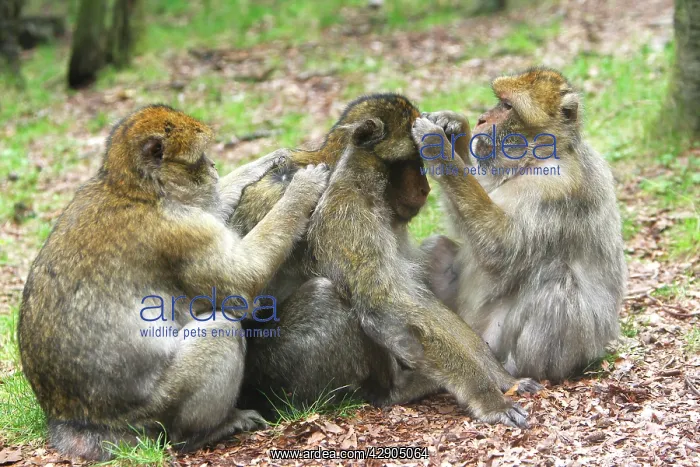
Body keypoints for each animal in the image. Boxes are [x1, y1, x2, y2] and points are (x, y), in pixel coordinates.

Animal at [17, 104, 329, 461]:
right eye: (199, 157)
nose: (214, 167)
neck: (139, 189)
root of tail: (74, 422)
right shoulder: (184, 233)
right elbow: (242, 282)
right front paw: (301, 191)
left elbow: (215, 207)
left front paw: (268, 160)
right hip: (159, 409)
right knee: (219, 330)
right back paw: (209, 430)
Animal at [225, 94, 541, 428]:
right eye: (413, 161)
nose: (424, 189)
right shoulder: (343, 212)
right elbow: (385, 303)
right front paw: (486, 397)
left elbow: (417, 301)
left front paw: (503, 379)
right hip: (277, 377)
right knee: (326, 295)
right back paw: (394, 391)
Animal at [411, 68, 627, 383]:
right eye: (498, 101)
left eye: (507, 106)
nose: (481, 119)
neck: (538, 159)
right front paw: (453, 126)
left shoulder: (556, 189)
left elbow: (501, 249)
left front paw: (438, 148)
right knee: (435, 247)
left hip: (513, 341)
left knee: (555, 282)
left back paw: (520, 374)